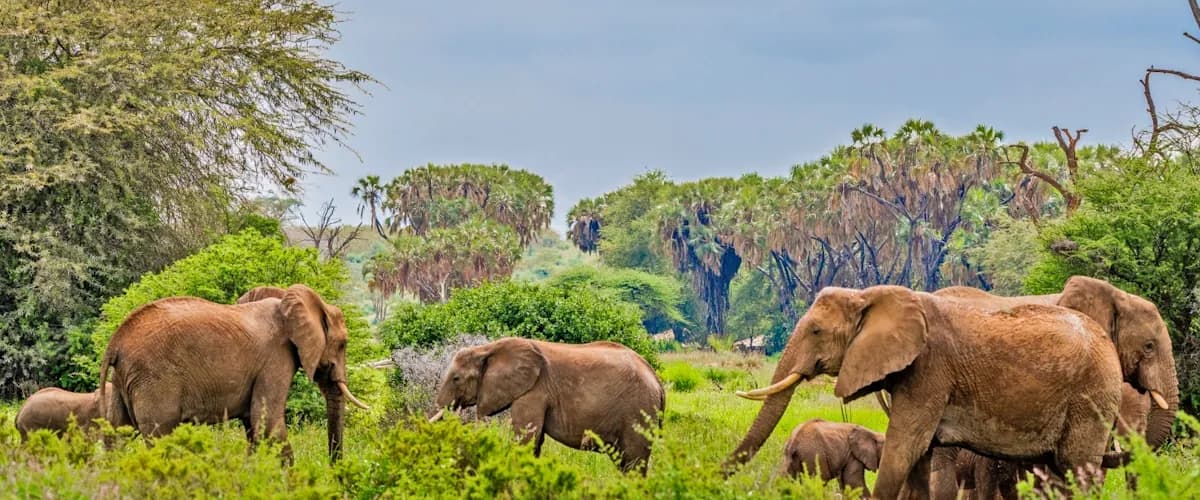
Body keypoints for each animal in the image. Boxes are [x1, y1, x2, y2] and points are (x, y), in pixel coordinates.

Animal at [98, 284, 368, 462]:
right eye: (343, 344)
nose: (334, 469)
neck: (287, 299)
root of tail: (115, 342)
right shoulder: (275, 358)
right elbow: (267, 423)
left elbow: (254, 427)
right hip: (154, 379)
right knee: (160, 438)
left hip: (123, 380)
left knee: (117, 436)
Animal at [429, 337, 665, 474]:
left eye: (456, 379)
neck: (487, 348)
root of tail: (657, 380)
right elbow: (535, 441)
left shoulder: (534, 391)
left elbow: (526, 439)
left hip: (638, 411)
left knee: (633, 462)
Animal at [724, 285, 1123, 499]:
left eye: (817, 331)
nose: (718, 474)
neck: (869, 295)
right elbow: (919, 457)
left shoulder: (930, 371)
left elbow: (905, 448)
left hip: (1091, 396)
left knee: (1080, 469)